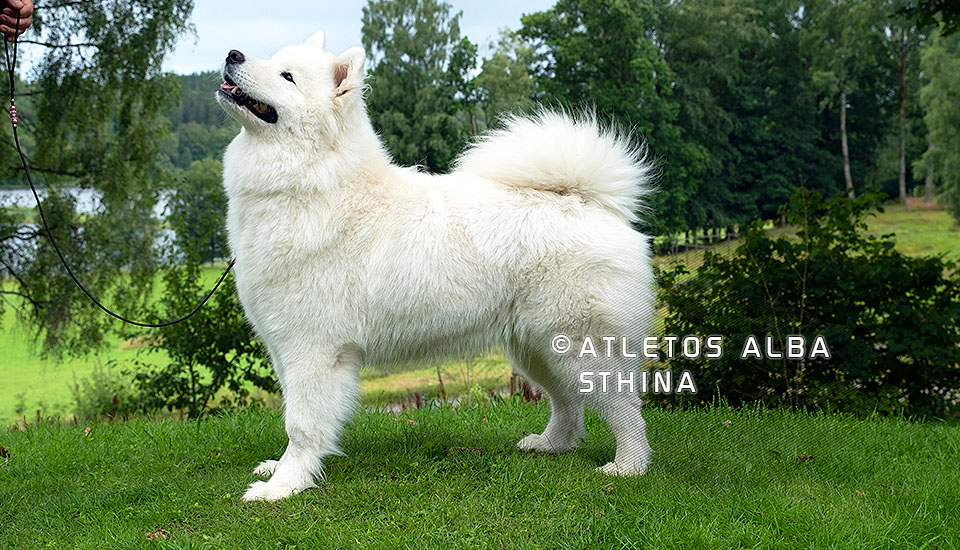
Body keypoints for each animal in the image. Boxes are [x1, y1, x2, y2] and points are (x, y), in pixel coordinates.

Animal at [217, 31, 657, 501]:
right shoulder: (285, 347)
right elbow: (295, 420)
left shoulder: (312, 349)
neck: (315, 182)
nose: (232, 54)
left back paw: (628, 467)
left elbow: (300, 425)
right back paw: (551, 444)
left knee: (624, 409)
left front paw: (283, 486)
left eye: (287, 76)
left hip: (580, 346)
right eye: (272, 60)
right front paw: (279, 470)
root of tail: (584, 200)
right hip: (536, 348)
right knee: (568, 402)